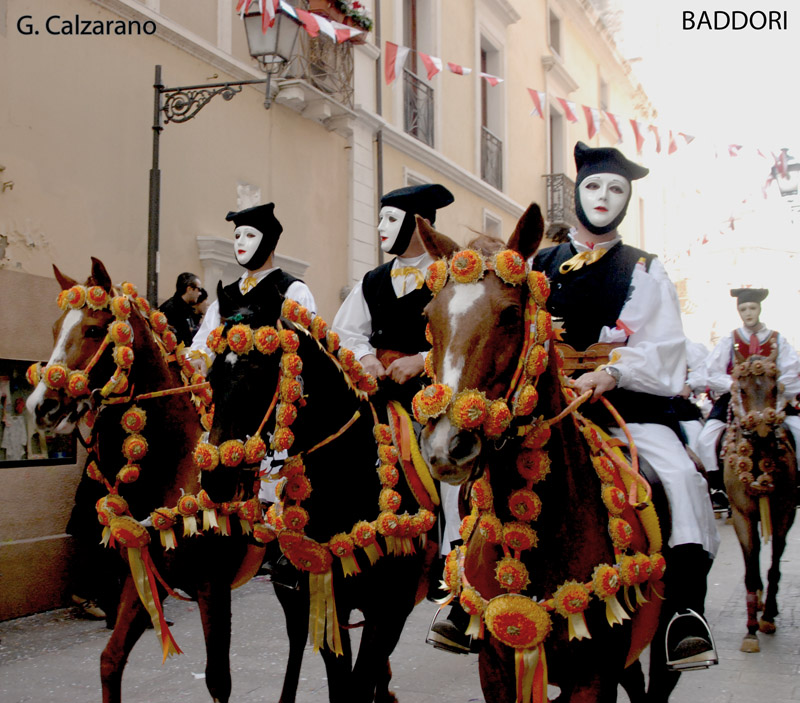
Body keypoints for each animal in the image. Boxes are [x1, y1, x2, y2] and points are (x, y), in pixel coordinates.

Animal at [25, 260, 260, 703]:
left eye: (94, 330)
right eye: (54, 328)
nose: (40, 406)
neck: (178, 464)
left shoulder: (213, 586)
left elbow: (218, 680)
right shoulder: (143, 573)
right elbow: (111, 660)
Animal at [720, 350, 796, 652]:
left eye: (775, 388)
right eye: (741, 389)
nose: (763, 432)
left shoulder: (785, 515)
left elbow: (775, 566)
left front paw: (768, 618)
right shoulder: (742, 516)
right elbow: (751, 570)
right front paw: (751, 630)